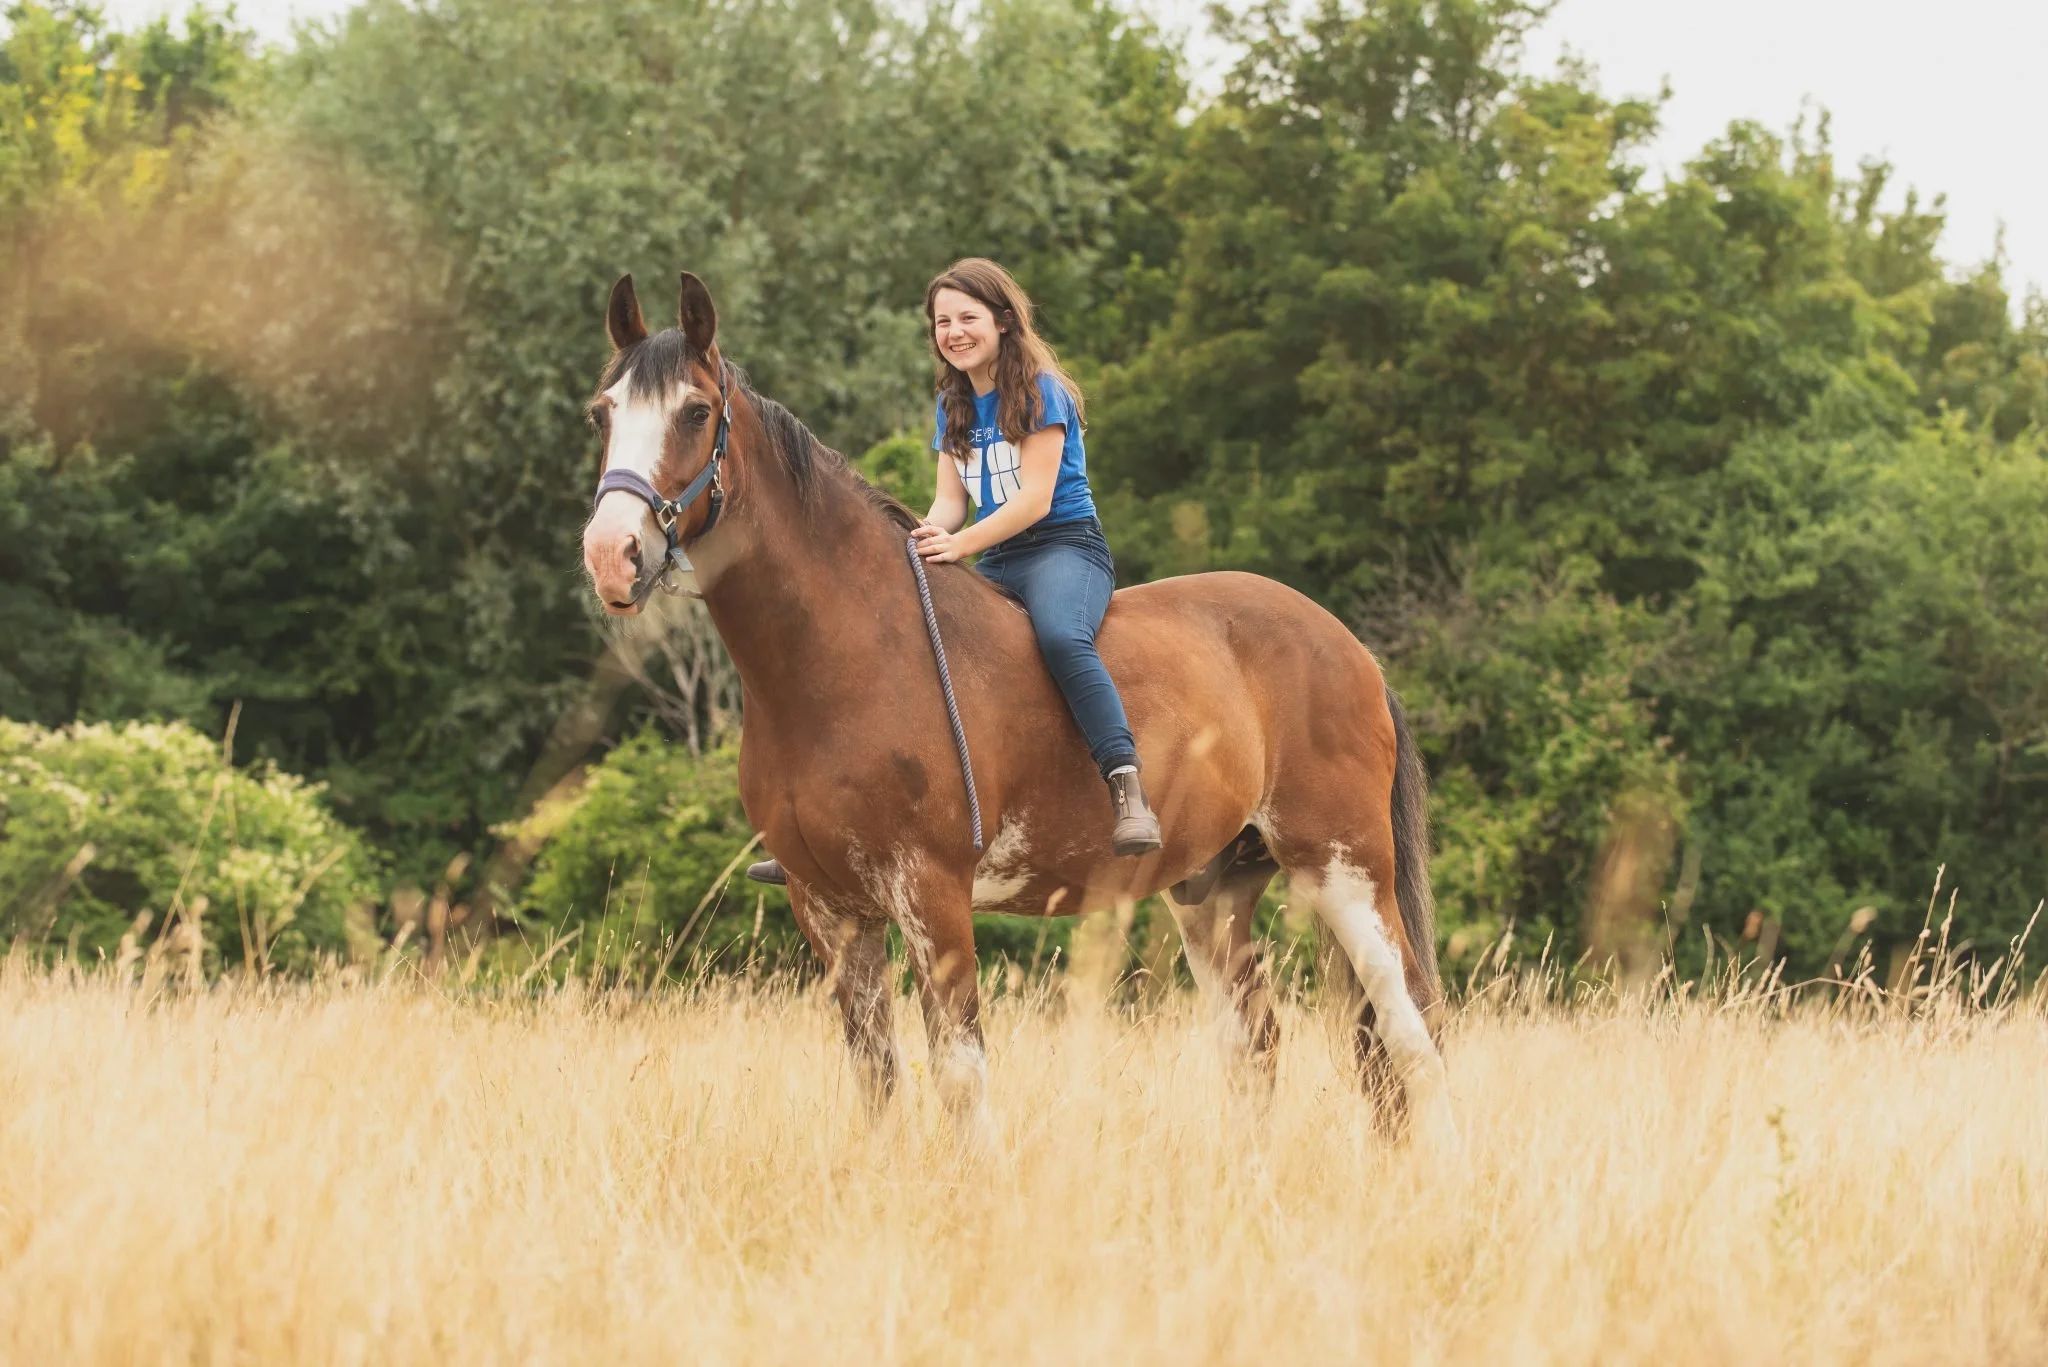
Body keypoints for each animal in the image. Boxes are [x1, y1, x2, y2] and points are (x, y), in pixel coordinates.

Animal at [580, 272, 1453, 1143]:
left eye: (696, 411)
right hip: (1212, 890)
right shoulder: (829, 908)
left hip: (1345, 871)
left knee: (1414, 1031)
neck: (843, 654)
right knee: (1257, 1045)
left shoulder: (933, 897)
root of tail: (1349, 647)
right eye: (603, 412)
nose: (611, 555)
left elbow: (961, 1080)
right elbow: (877, 1082)